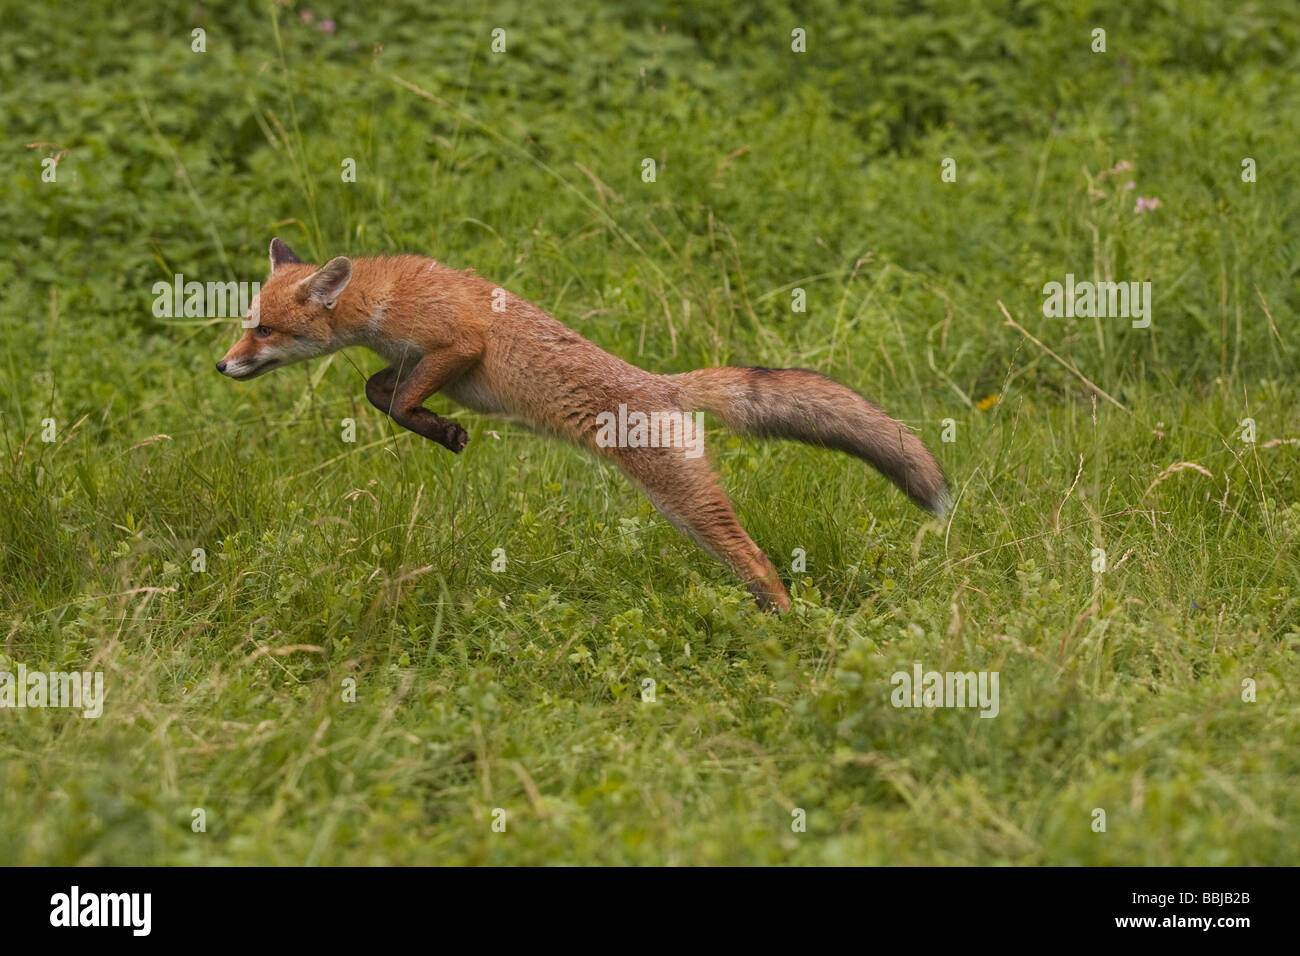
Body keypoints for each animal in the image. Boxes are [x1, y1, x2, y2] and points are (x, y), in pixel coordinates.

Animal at [217, 238, 952, 612]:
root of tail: (663, 385)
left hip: (685, 501)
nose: (221, 364)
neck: (383, 297)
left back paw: (784, 630)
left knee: (760, 562)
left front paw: (444, 431)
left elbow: (396, 403)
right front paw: (441, 428)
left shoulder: (460, 344)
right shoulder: (414, 362)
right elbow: (380, 393)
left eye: (264, 329)